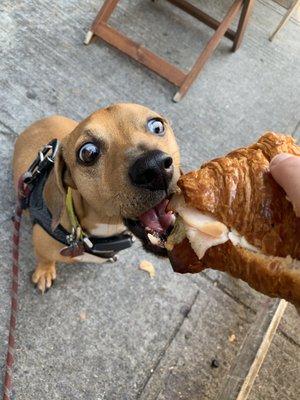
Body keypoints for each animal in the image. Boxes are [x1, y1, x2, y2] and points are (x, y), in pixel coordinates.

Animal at [12, 103, 180, 290]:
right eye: (88, 153)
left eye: (157, 126)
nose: (155, 167)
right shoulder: (42, 244)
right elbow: (44, 258)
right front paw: (44, 272)